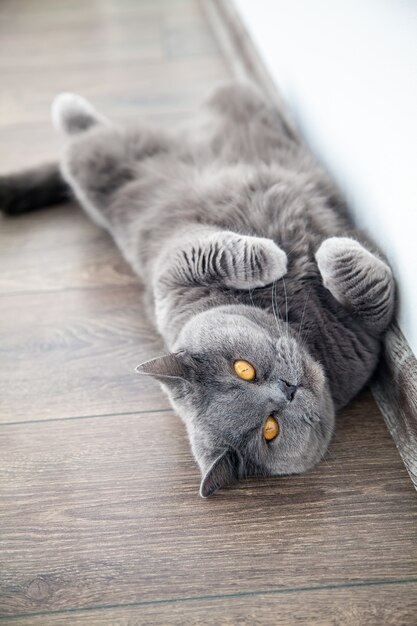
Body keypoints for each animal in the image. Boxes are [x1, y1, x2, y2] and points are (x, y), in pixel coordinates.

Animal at [0, 83, 394, 494]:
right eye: (270, 429)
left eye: (243, 369)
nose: (287, 390)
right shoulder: (364, 343)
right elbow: (372, 293)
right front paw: (324, 252)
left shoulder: (173, 270)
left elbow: (206, 252)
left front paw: (282, 255)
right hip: (100, 167)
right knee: (78, 147)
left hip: (121, 157)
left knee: (88, 138)